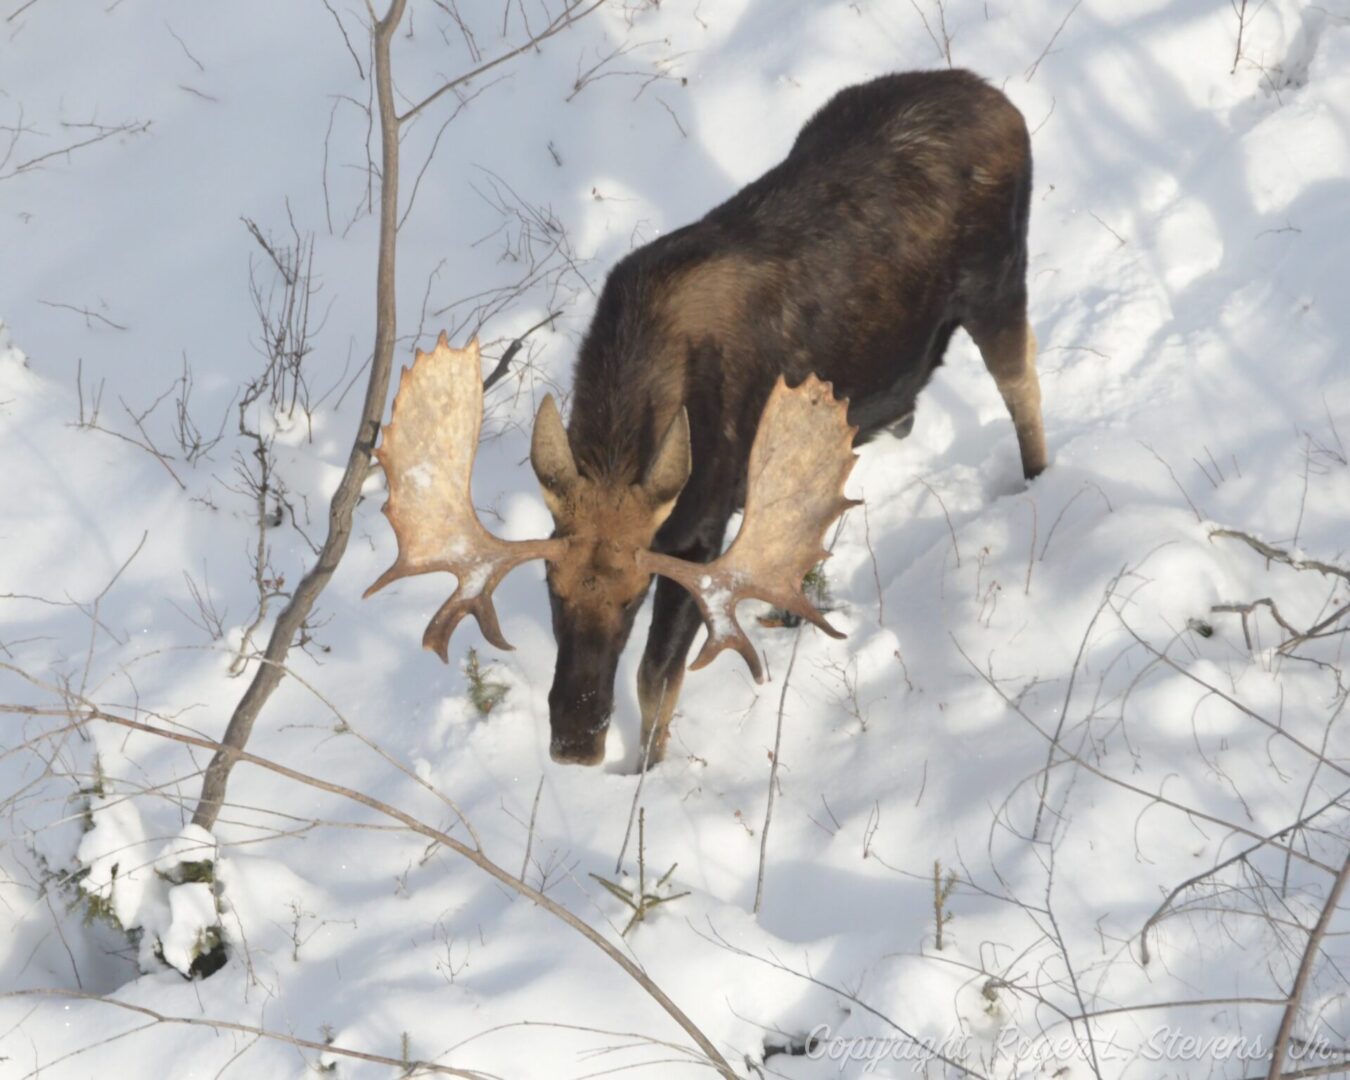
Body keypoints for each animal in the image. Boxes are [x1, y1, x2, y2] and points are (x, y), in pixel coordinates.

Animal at [367, 69, 1042, 766]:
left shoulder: (700, 530)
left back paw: (1036, 482)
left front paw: (646, 769)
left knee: (1024, 385)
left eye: (633, 596)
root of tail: (1000, 100)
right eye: (551, 586)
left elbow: (656, 676)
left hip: (998, 281)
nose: (575, 740)